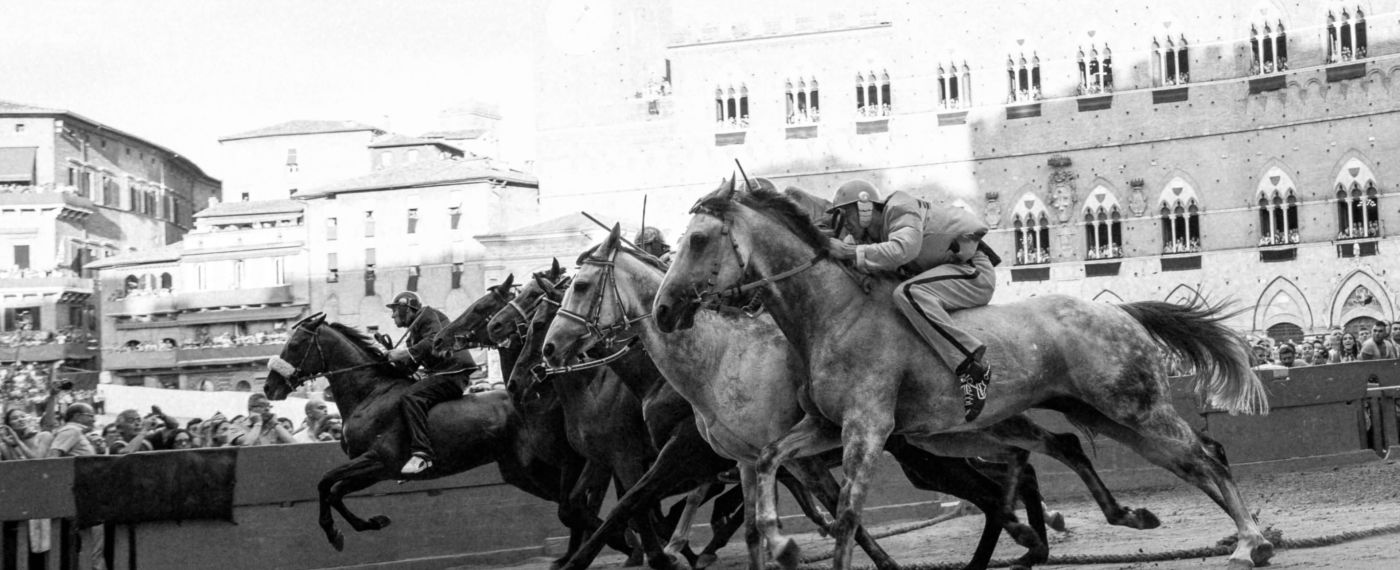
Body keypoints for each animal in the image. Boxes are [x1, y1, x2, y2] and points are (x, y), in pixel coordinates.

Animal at [540, 226, 1155, 570]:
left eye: (581, 286)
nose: (547, 350)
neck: (718, 360)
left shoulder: (696, 458)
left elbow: (631, 503)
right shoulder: (753, 462)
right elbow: (776, 516)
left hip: (930, 452)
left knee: (1006, 477)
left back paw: (1032, 537)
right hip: (952, 439)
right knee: (1026, 462)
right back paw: (1034, 539)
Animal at [651, 179, 1271, 569]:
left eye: (698, 240)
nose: (663, 310)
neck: (832, 314)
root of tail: (1120, 311)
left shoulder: (867, 429)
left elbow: (846, 515)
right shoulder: (823, 429)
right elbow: (771, 462)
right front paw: (780, 542)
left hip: (1134, 406)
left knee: (1206, 456)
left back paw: (1251, 541)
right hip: (1099, 414)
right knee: (1137, 455)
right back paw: (1143, 520)